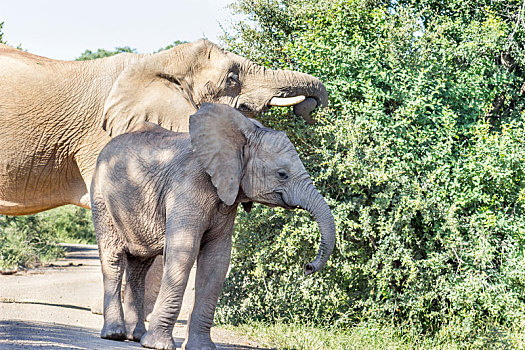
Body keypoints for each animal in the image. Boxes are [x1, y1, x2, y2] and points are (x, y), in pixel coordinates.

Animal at [89, 102, 336, 348]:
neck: (241, 137)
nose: (308, 267)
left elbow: (216, 260)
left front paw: (201, 347)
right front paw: (157, 345)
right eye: (282, 174)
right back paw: (115, 334)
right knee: (114, 258)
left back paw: (135, 336)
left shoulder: (226, 201)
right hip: (101, 198)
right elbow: (184, 252)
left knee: (140, 265)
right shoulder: (187, 187)